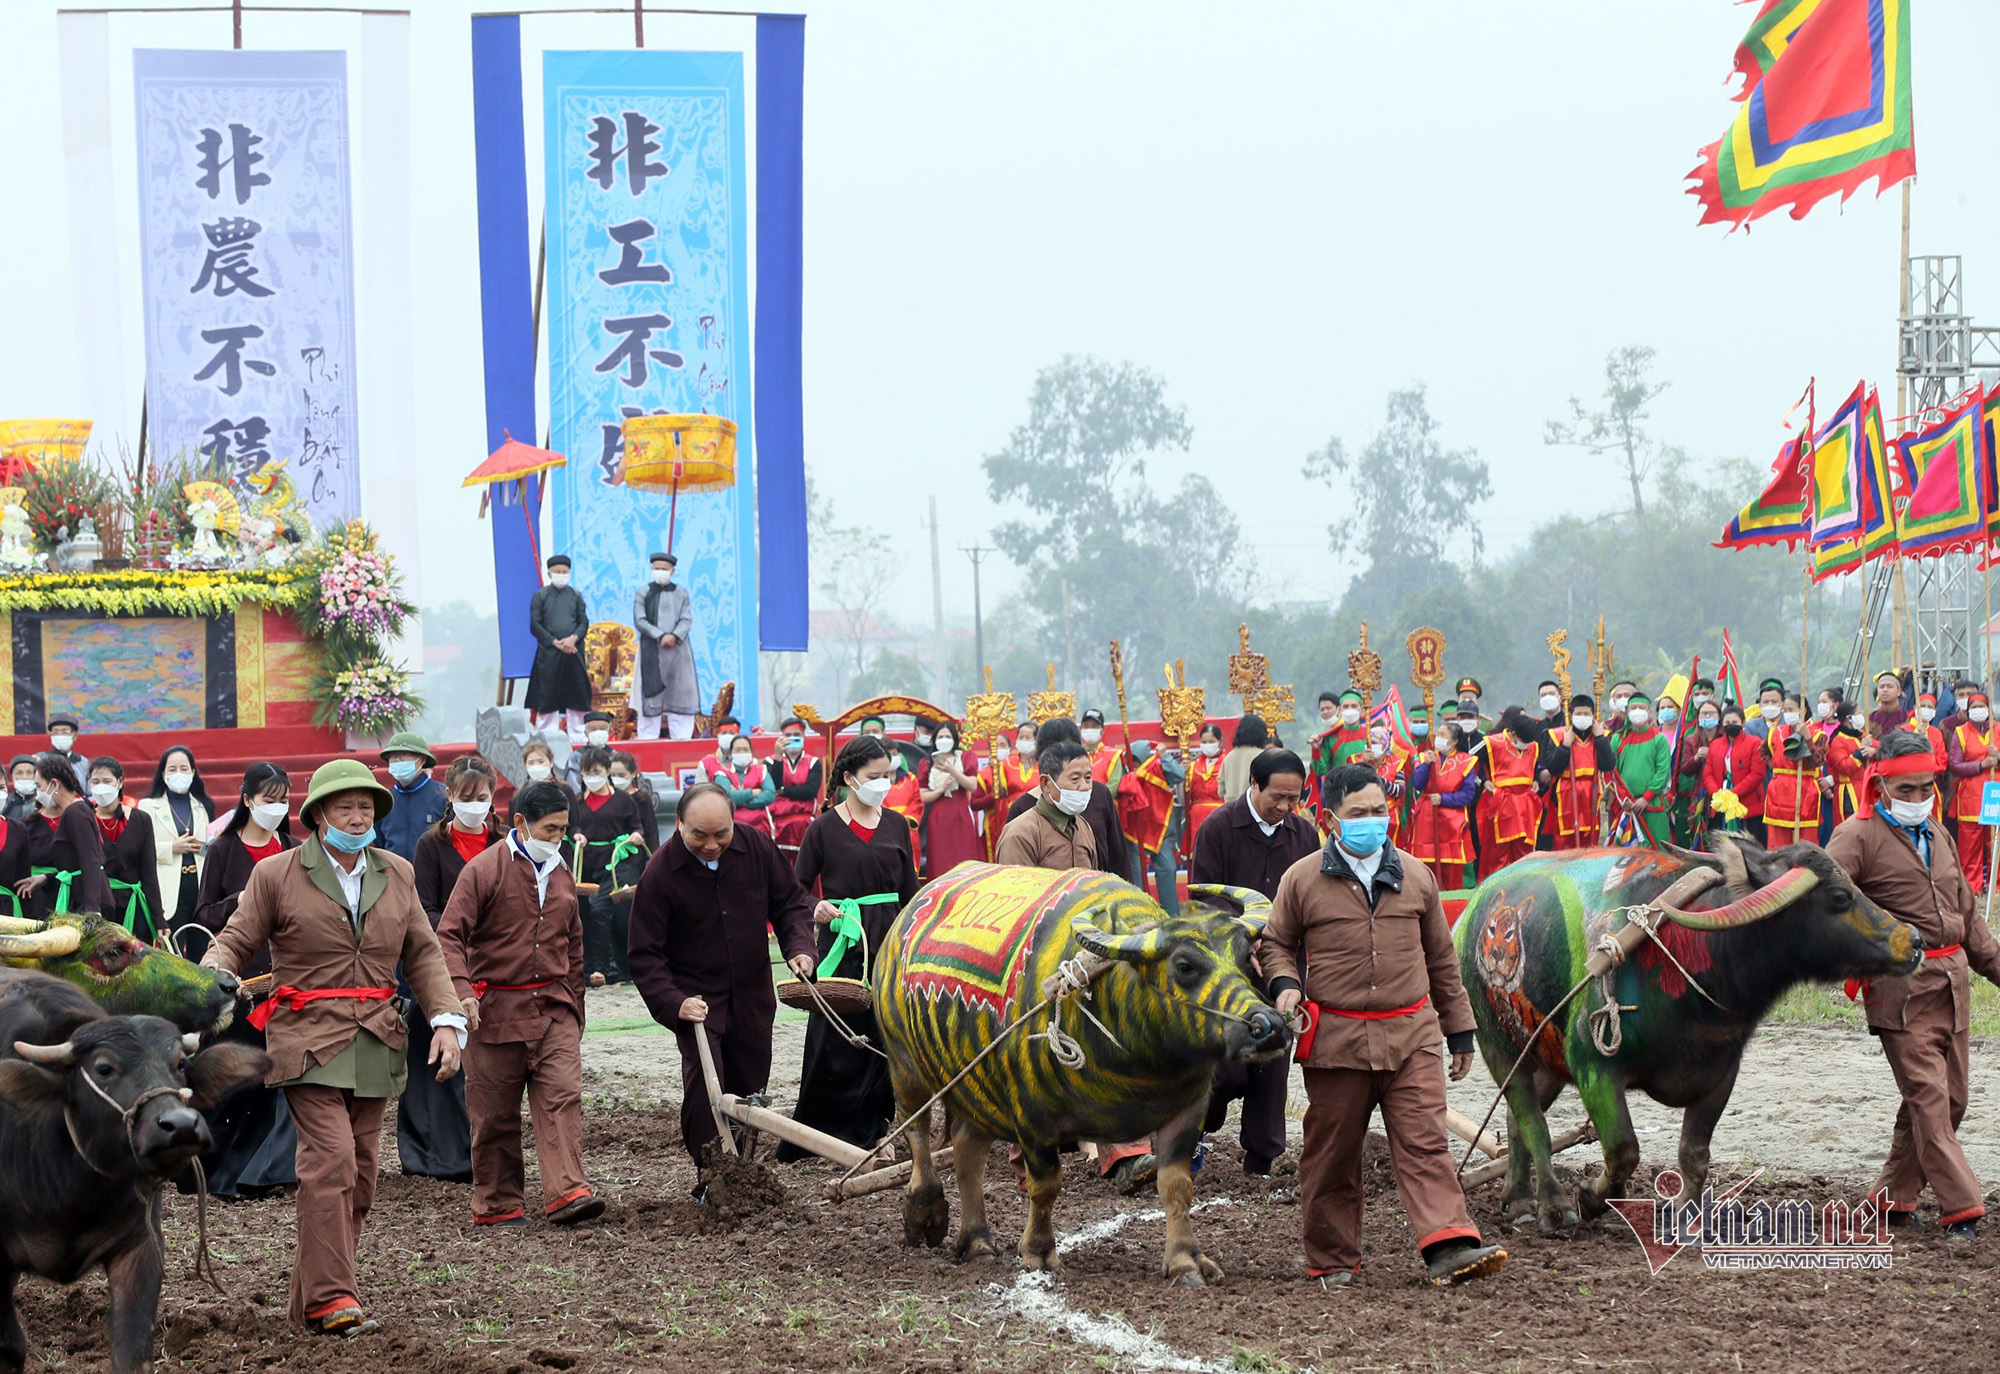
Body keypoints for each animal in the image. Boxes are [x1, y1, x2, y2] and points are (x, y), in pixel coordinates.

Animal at [0, 968, 266, 1374]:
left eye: (180, 1064)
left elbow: (133, 1350)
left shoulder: (141, 1247)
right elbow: (11, 1345)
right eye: (103, 1068)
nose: (181, 1125)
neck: (69, 1188)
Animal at [880, 864, 1288, 1288]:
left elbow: (1176, 1185)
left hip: (975, 1085)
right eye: (1185, 966)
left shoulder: (1189, 1111)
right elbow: (1045, 1186)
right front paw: (1039, 1253)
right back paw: (925, 1213)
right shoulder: (1033, 1116)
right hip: (904, 1063)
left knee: (966, 1153)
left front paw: (1185, 1261)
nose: (1269, 1027)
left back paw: (976, 1240)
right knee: (918, 1134)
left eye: (1246, 958)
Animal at [1464, 840, 1912, 1240]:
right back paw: (1552, 1208)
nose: (1914, 941)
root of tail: (1473, 906)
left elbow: (1694, 1154)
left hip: (1541, 1057)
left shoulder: (1720, 1075)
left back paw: (1518, 1199)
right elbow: (1623, 1150)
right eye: (1839, 897)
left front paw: (1689, 1219)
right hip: (1497, 1049)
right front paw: (1592, 1198)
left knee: (1515, 1120)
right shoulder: (1594, 1068)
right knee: (1532, 1123)